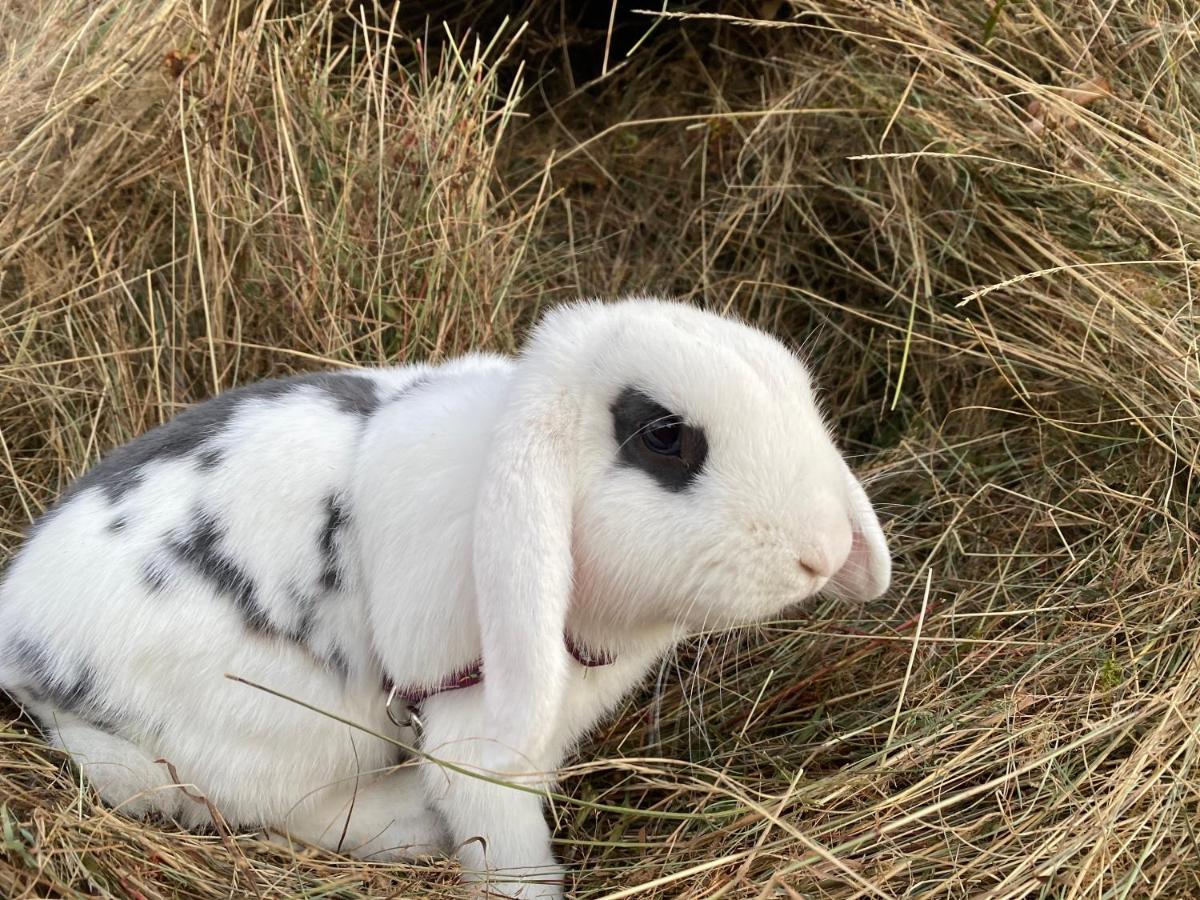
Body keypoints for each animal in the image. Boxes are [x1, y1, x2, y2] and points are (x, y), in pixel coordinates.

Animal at [0, 300, 892, 897]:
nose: (821, 553)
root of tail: (21, 647)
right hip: (271, 728)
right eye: (666, 436)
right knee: (284, 810)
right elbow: (505, 842)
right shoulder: (476, 733)